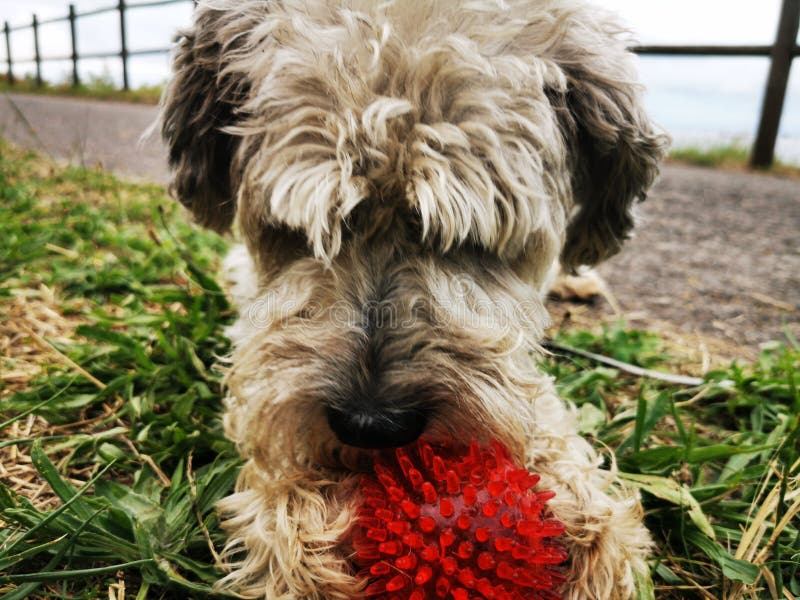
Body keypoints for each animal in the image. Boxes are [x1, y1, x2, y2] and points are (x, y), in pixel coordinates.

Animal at [159, 2, 664, 596]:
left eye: (472, 240)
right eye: (300, 233)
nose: (371, 425)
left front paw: (588, 516)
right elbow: (259, 391)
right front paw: (297, 526)